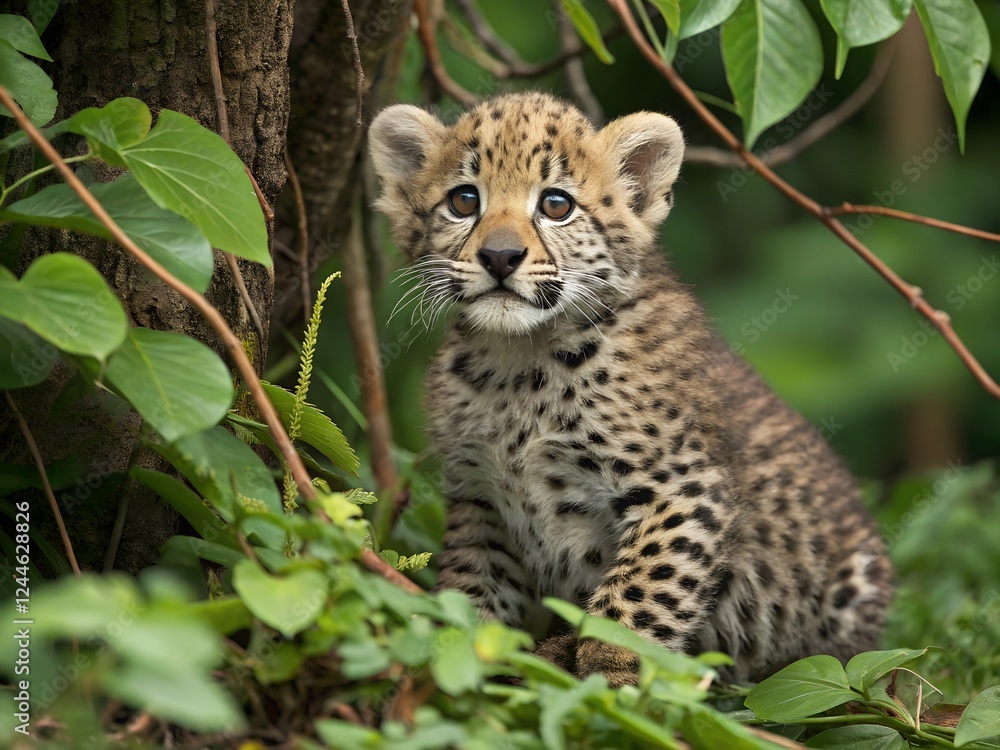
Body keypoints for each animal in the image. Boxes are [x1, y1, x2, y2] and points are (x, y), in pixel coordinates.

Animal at [368, 91, 892, 685]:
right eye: (463, 200)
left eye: (556, 205)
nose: (500, 256)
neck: (518, 362)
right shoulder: (479, 497)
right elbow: (471, 584)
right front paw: (461, 652)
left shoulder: (684, 486)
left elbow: (645, 583)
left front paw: (611, 668)